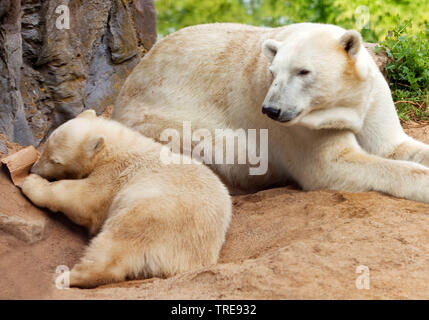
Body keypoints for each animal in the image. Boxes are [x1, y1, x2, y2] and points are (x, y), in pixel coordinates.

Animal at [114, 22, 429, 202]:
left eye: (303, 71)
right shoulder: (299, 128)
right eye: (273, 72)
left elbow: (393, 147)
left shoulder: (372, 97)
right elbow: (331, 164)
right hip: (160, 120)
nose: (271, 110)